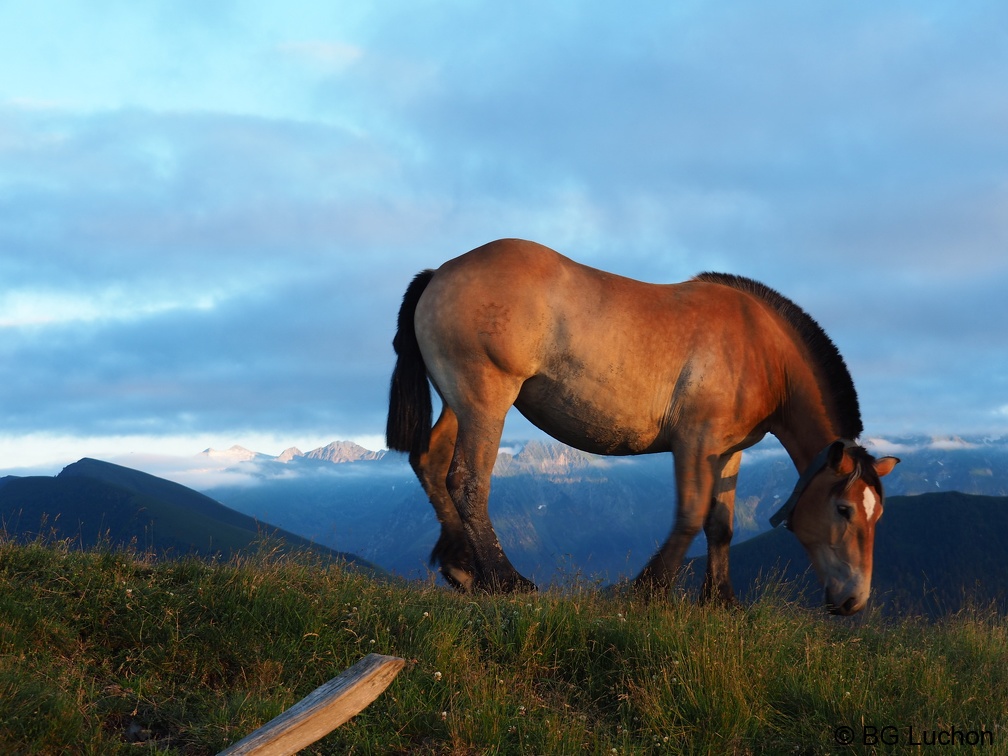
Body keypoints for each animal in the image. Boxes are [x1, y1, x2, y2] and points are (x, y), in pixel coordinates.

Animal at [385, 240, 899, 616]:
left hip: (461, 401)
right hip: (486, 398)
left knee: (432, 462)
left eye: (877, 516)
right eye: (844, 510)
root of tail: (440, 273)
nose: (854, 600)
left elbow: (721, 524)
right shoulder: (695, 441)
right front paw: (649, 590)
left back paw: (462, 568)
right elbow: (690, 513)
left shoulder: (729, 451)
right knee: (468, 480)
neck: (760, 348)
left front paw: (721, 601)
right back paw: (505, 580)